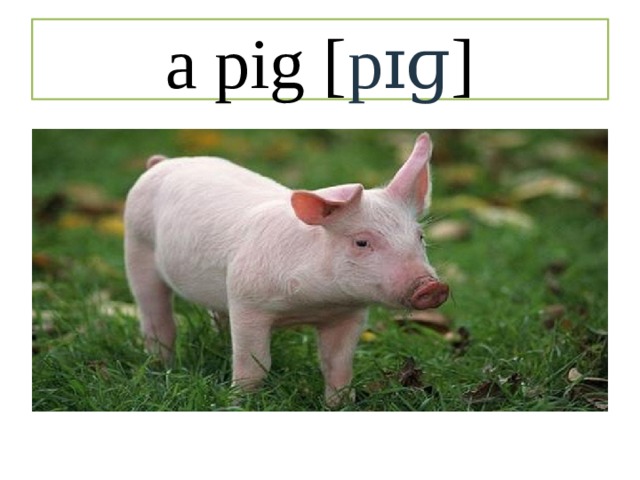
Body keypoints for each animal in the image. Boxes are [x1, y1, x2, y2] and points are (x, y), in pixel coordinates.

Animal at [124, 132, 448, 406]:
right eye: (362, 242)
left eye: (419, 236)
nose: (432, 286)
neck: (314, 303)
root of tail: (163, 163)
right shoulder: (247, 301)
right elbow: (254, 365)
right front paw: (240, 403)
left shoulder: (348, 313)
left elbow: (338, 364)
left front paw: (338, 405)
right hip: (137, 246)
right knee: (156, 318)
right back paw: (161, 368)